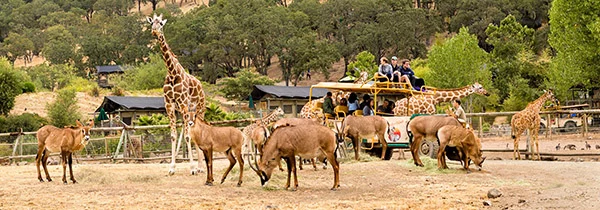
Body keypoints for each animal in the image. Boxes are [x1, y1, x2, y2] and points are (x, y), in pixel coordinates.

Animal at [147, 14, 206, 176]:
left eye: (161, 23)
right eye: (151, 23)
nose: (154, 31)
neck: (172, 73)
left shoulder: (184, 103)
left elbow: (187, 136)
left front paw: (192, 168)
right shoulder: (169, 104)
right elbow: (174, 136)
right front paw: (172, 168)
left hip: (199, 109)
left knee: (196, 131)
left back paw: (200, 167)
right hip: (185, 112)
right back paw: (198, 166)